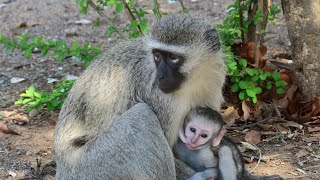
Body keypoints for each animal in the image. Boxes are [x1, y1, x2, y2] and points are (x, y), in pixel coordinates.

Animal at [54, 13, 225, 179]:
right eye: (157, 55)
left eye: (173, 57)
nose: (160, 76)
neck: (193, 80)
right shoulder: (159, 98)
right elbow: (172, 149)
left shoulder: (214, 80)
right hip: (90, 165)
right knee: (142, 115)